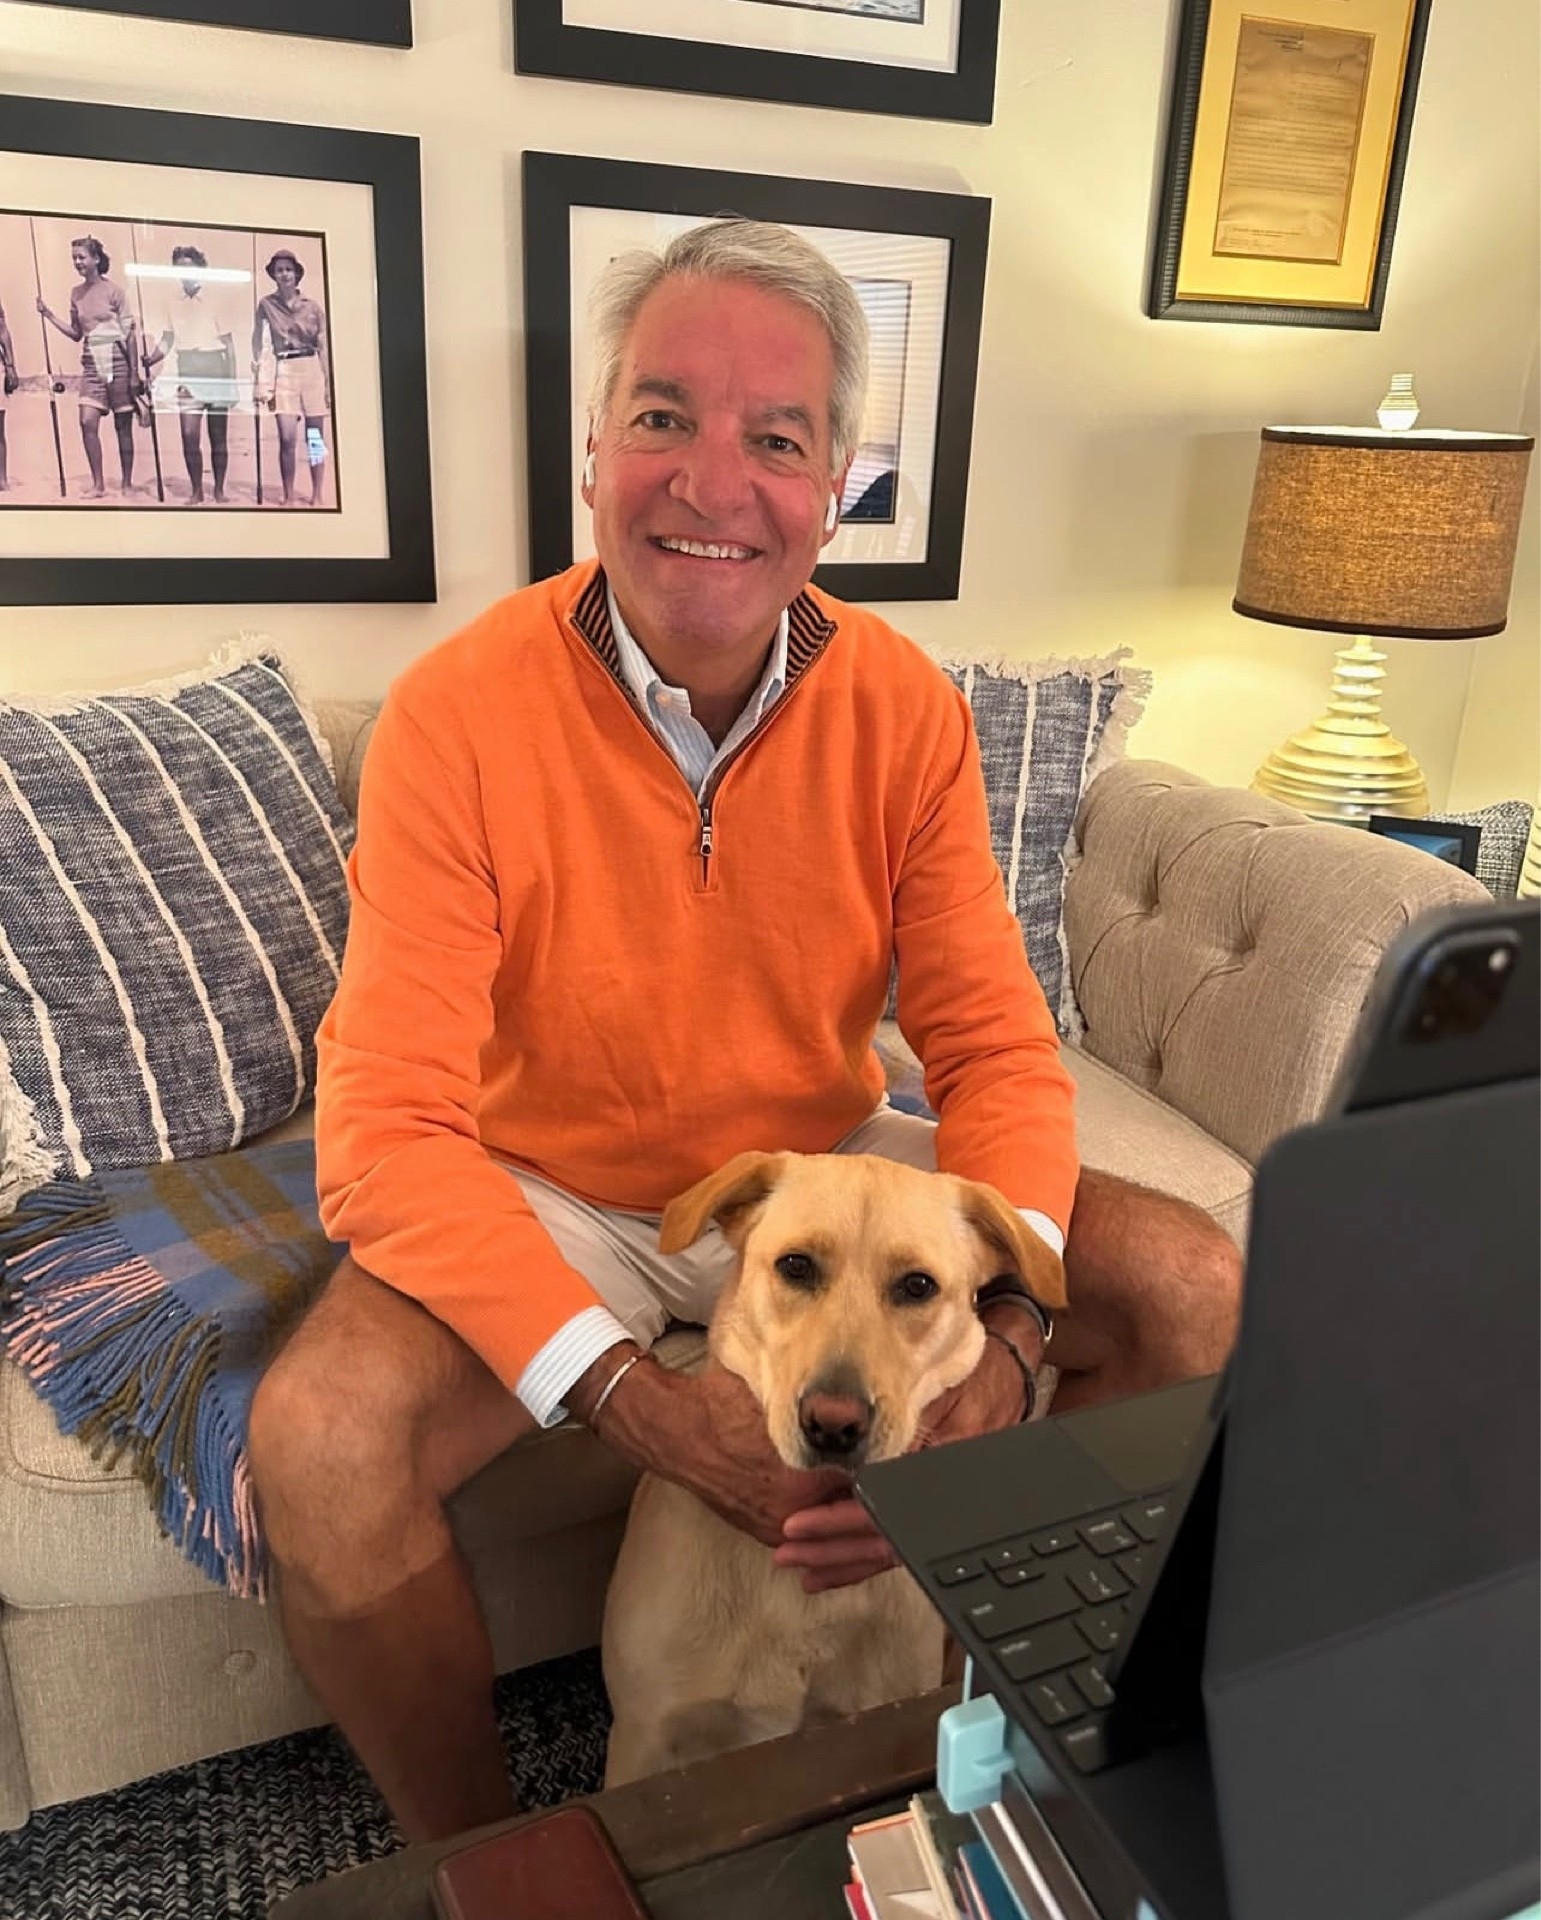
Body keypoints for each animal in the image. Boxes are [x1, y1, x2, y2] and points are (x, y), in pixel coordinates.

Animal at [600, 1148, 1067, 1787]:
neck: (797, 1598)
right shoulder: (643, 1739)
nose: (834, 1425)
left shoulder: (870, 1714)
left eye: (917, 1286)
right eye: (796, 1267)